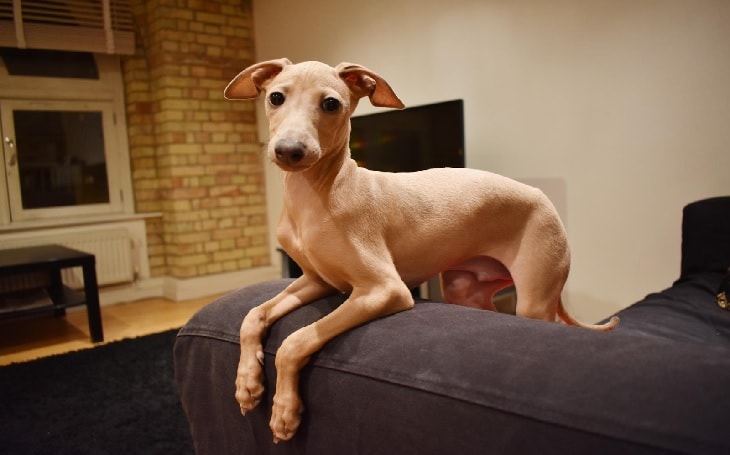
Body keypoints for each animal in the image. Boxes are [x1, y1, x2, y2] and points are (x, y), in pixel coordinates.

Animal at [225, 58, 616, 444]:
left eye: (331, 104)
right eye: (276, 97)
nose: (290, 150)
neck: (316, 193)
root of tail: (542, 196)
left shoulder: (385, 290)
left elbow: (296, 339)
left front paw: (284, 411)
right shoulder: (315, 281)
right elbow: (253, 315)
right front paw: (247, 383)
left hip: (534, 299)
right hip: (465, 290)